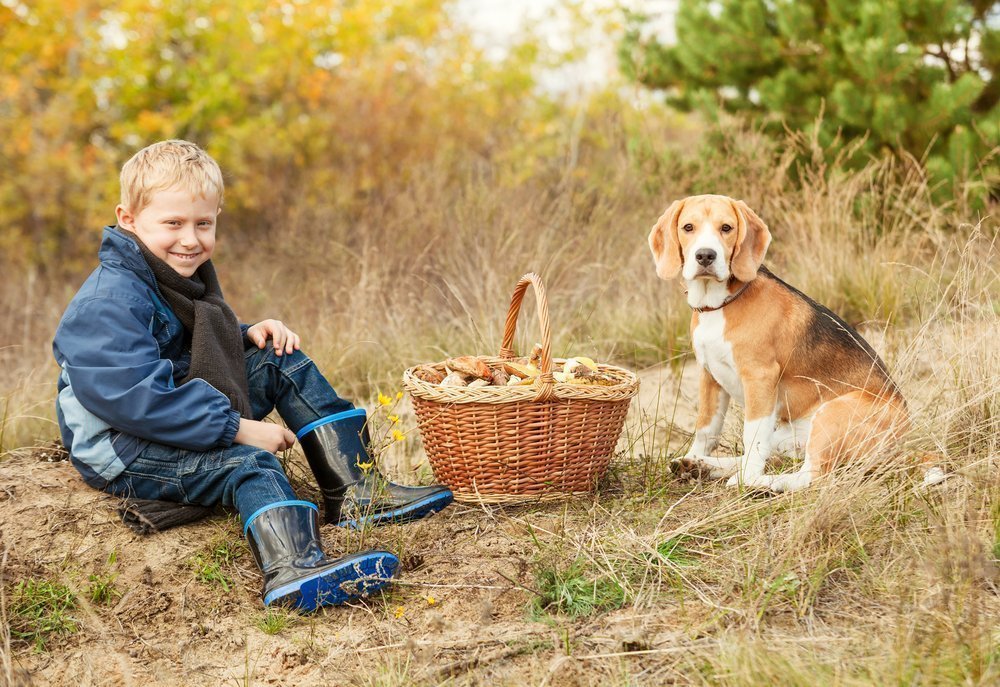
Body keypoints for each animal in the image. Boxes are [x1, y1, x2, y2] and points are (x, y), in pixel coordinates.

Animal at [648, 196, 936, 492]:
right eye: (688, 227)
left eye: (726, 228)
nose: (705, 255)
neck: (720, 303)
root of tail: (906, 442)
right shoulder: (709, 375)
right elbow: (707, 429)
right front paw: (695, 456)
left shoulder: (760, 377)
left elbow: (751, 435)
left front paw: (745, 478)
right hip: (786, 433)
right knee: (772, 454)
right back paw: (704, 466)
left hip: (830, 415)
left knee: (809, 475)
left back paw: (756, 481)